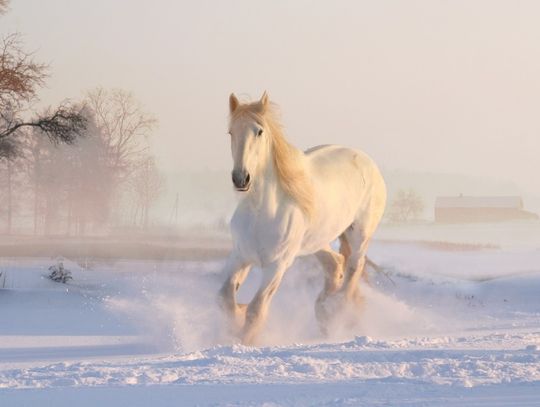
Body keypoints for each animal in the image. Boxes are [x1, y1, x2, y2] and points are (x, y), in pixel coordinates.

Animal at [217, 92, 386, 344]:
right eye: (231, 132)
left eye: (259, 131)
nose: (241, 178)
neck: (260, 213)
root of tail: (367, 161)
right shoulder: (240, 256)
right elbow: (225, 298)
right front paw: (236, 321)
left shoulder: (277, 265)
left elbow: (256, 310)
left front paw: (244, 340)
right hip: (316, 241)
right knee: (335, 263)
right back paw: (324, 311)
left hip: (360, 234)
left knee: (354, 267)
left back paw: (336, 312)